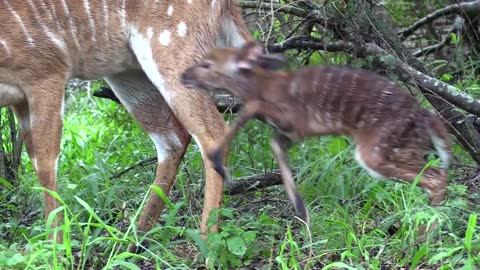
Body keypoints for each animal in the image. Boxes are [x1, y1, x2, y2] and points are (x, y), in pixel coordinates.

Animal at [0, 0, 253, 249]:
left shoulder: (47, 71)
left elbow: (45, 163)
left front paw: (56, 248)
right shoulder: (20, 98)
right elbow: (35, 161)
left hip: (172, 47)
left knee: (212, 131)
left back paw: (207, 246)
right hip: (126, 70)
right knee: (173, 138)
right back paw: (134, 243)